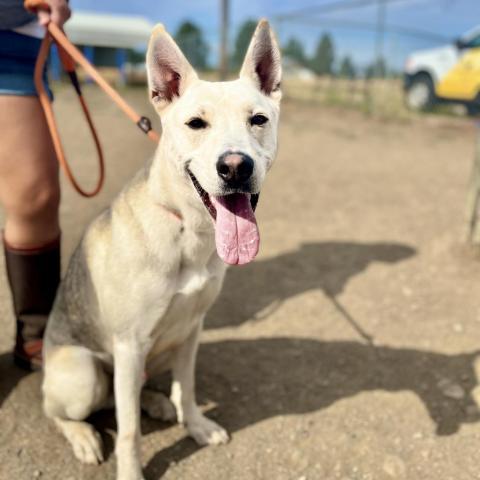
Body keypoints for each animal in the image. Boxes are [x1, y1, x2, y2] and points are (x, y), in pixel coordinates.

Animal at [42, 19, 282, 480]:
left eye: (258, 119)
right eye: (196, 123)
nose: (235, 167)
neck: (187, 228)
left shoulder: (191, 330)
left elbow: (185, 390)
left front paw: (196, 426)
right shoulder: (130, 344)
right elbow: (129, 432)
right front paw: (131, 471)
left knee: (131, 395)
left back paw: (155, 402)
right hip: (84, 374)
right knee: (66, 409)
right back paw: (83, 435)